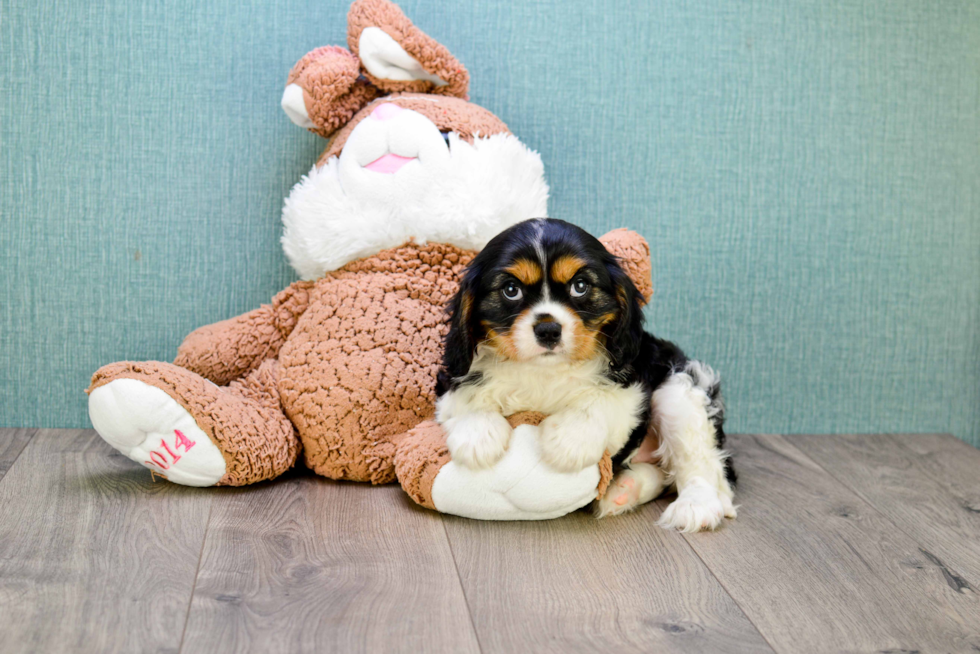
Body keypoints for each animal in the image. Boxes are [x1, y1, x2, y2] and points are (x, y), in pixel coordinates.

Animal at [436, 220, 736, 532]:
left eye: (580, 286)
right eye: (510, 289)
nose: (548, 330)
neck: (544, 370)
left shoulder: (630, 386)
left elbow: (598, 401)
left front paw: (569, 440)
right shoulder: (449, 384)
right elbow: (468, 396)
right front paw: (477, 436)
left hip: (681, 390)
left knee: (703, 466)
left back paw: (696, 506)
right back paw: (625, 490)